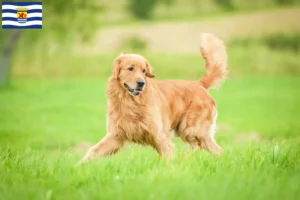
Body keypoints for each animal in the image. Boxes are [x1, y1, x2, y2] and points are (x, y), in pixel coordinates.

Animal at [78, 33, 229, 164]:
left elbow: (168, 156)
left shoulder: (159, 134)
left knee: (202, 146)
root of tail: (199, 83)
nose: (141, 83)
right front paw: (78, 167)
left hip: (190, 129)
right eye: (130, 68)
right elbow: (93, 151)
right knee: (213, 149)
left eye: (144, 71)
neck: (130, 102)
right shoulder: (115, 135)